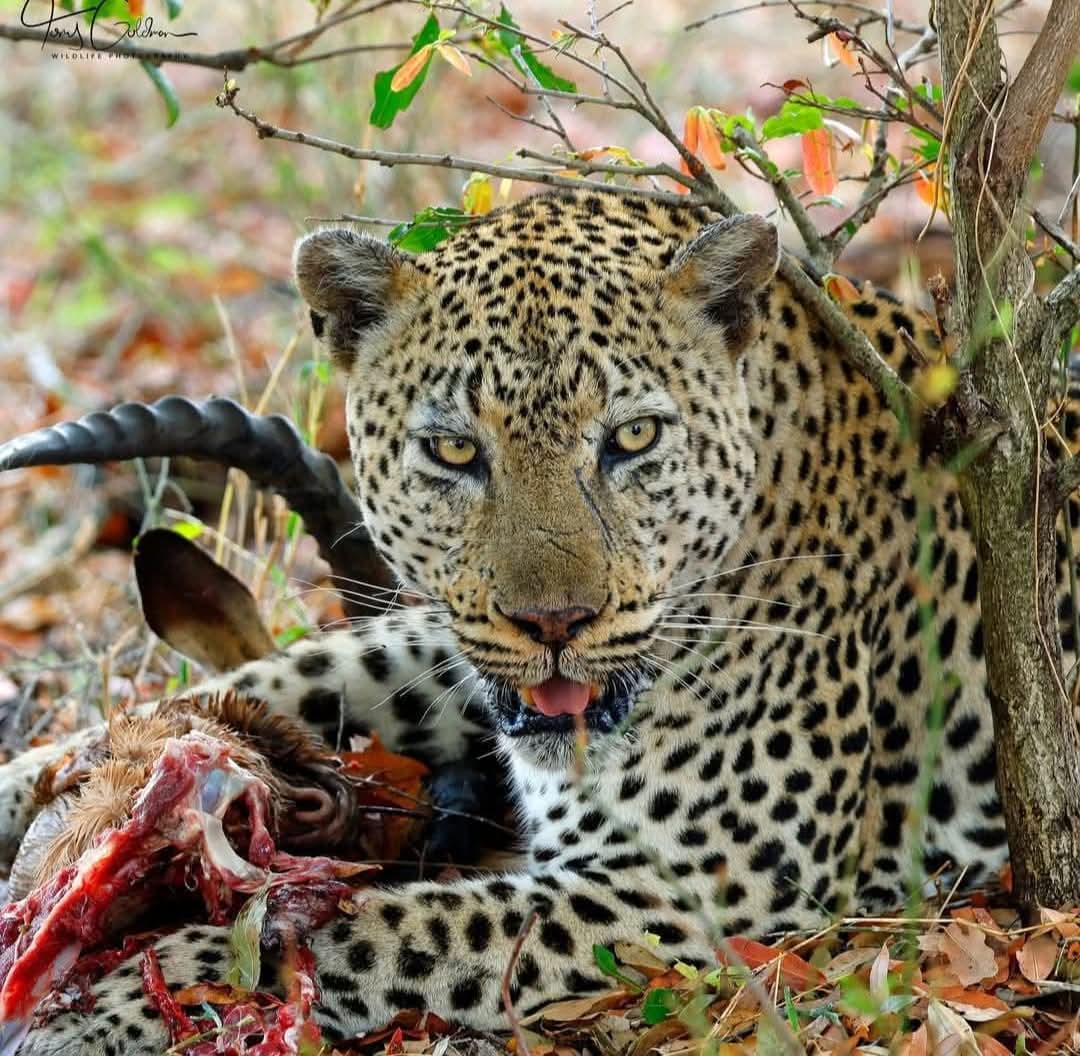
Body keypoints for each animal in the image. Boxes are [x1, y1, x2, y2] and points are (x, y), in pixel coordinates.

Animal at [0, 190, 1017, 1055]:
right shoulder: (452, 646)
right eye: (454, 450)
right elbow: (278, 680)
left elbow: (368, 929)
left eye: (634, 438)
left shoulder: (706, 885)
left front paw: (104, 1002)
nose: (555, 623)